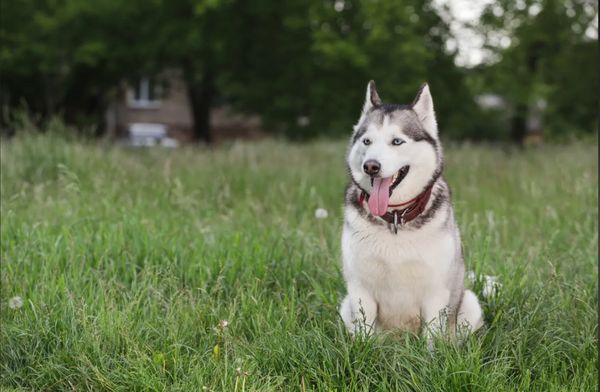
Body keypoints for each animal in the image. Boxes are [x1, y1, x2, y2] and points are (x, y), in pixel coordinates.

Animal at [340, 82, 486, 340]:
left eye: (397, 141)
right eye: (367, 141)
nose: (370, 166)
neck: (396, 219)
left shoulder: (436, 291)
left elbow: (432, 337)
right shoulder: (359, 288)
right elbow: (365, 333)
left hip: (469, 302)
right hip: (345, 304)